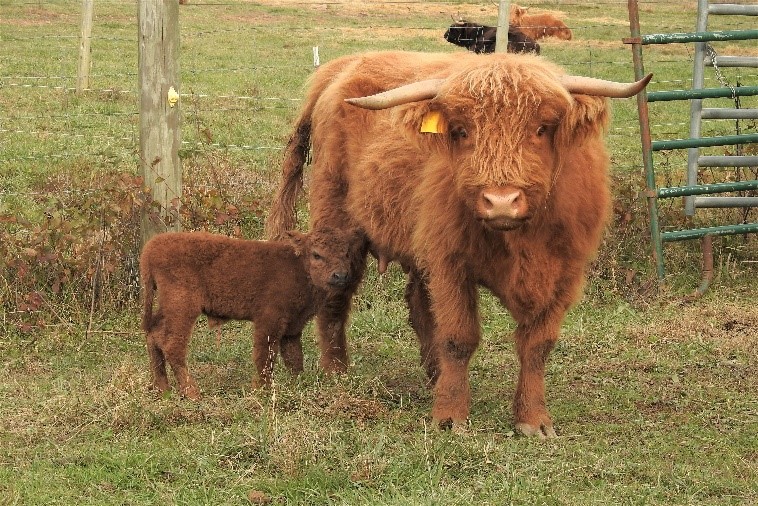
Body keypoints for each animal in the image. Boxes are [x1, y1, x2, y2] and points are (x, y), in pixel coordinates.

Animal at [144, 227, 370, 398]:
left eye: (346, 254)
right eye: (317, 255)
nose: (340, 275)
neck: (298, 266)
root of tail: (151, 247)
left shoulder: (292, 327)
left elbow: (294, 357)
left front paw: (299, 383)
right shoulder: (269, 321)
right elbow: (265, 355)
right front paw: (262, 389)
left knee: (153, 335)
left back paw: (163, 388)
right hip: (182, 308)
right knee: (171, 343)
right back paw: (192, 392)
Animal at [264, 52, 652, 438]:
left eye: (541, 128)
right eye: (462, 131)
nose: (500, 201)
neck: (520, 241)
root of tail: (342, 66)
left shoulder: (566, 272)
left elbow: (537, 345)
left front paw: (534, 420)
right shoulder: (450, 263)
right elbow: (457, 337)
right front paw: (451, 416)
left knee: (419, 304)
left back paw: (433, 376)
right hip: (337, 220)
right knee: (336, 296)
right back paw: (337, 370)